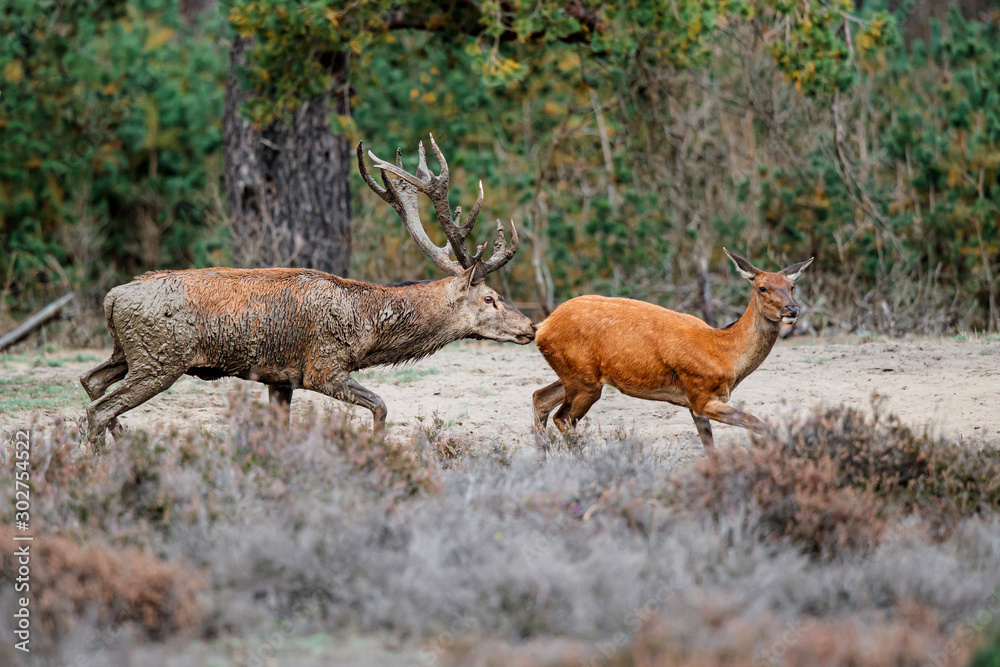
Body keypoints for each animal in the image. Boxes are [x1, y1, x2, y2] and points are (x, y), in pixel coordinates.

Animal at [80, 135, 535, 449]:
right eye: (490, 298)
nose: (530, 326)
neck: (367, 330)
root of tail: (112, 298)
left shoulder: (279, 378)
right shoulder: (322, 366)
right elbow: (382, 406)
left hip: (128, 353)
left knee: (90, 381)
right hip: (160, 358)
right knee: (97, 408)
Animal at [532, 249, 813, 455]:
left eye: (791, 287)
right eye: (763, 287)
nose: (792, 309)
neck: (725, 354)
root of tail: (542, 327)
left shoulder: (693, 404)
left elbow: (710, 447)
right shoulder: (700, 394)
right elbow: (759, 423)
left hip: (577, 375)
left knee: (540, 398)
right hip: (584, 381)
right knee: (562, 418)